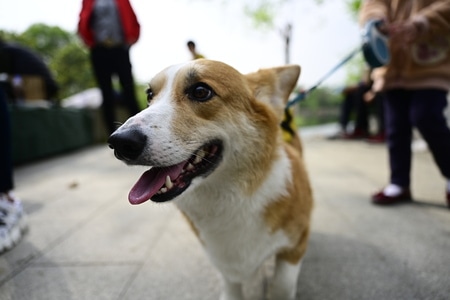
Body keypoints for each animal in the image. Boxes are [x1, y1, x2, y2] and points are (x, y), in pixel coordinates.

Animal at [108, 59, 312, 300]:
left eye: (200, 91)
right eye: (149, 95)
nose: (119, 143)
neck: (232, 196)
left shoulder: (295, 246)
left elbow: (282, 284)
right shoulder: (223, 261)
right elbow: (231, 286)